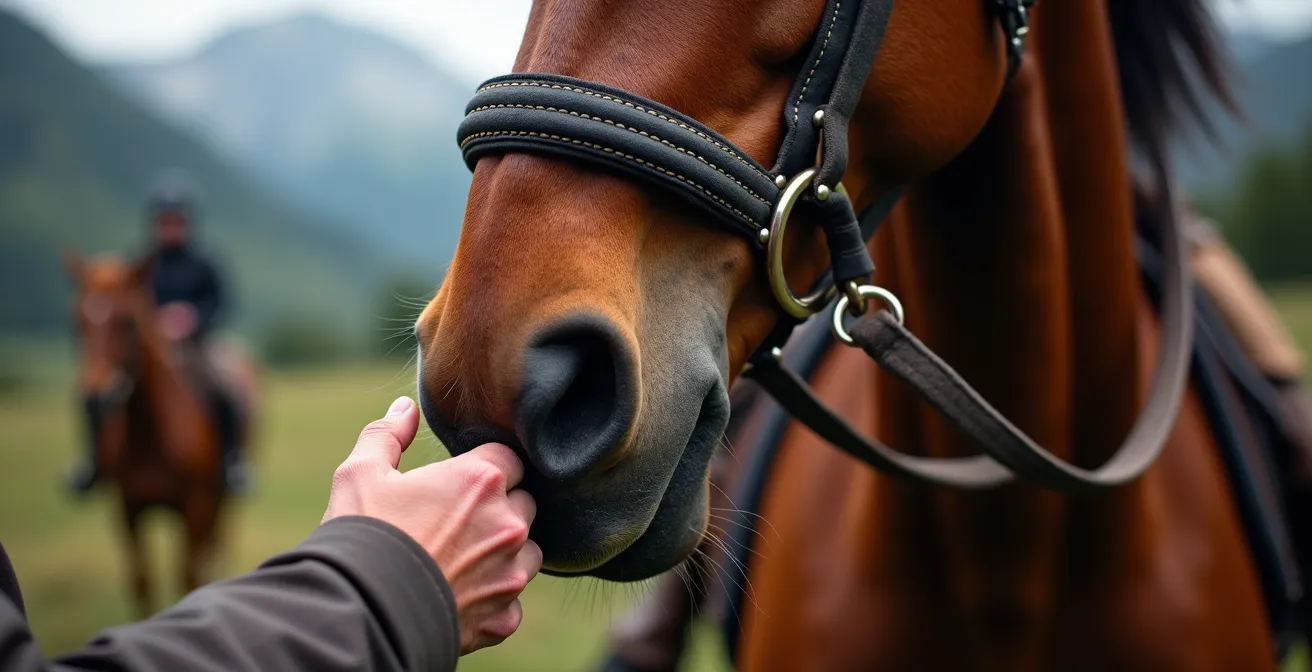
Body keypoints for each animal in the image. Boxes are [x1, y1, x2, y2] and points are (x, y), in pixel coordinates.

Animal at [64, 252, 250, 618]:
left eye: (126, 322)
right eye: (76, 321)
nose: (95, 399)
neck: (148, 436)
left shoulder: (195, 505)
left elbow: (188, 577)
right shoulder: (128, 508)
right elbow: (142, 582)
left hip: (220, 499)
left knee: (215, 551)